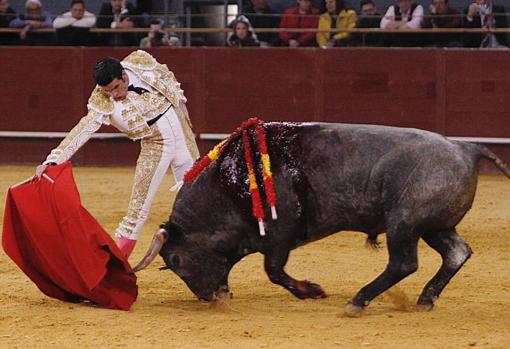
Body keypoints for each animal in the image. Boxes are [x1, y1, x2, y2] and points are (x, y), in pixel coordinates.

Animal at [132, 121, 510, 314]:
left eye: (176, 260)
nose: (206, 296)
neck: (228, 184)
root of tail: (466, 147)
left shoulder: (279, 234)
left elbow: (273, 270)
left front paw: (311, 291)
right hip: (435, 226)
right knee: (456, 253)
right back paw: (425, 299)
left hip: (403, 222)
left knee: (404, 263)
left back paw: (359, 300)